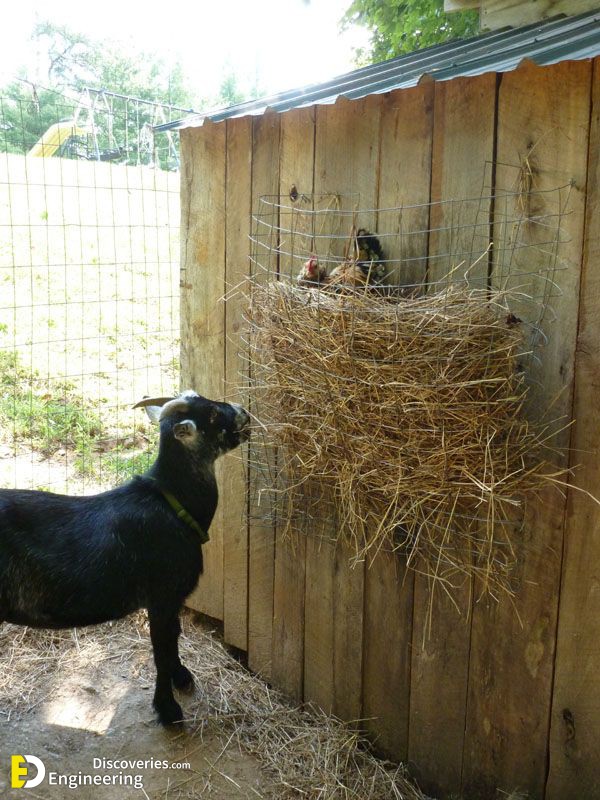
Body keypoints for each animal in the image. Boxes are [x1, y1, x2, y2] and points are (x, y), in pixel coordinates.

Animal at [0, 390, 250, 725]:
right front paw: (168, 709)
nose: (243, 411)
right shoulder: (162, 597)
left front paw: (181, 676)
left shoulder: (171, 601)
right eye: (210, 414)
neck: (173, 505)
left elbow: (174, 638)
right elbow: (161, 649)